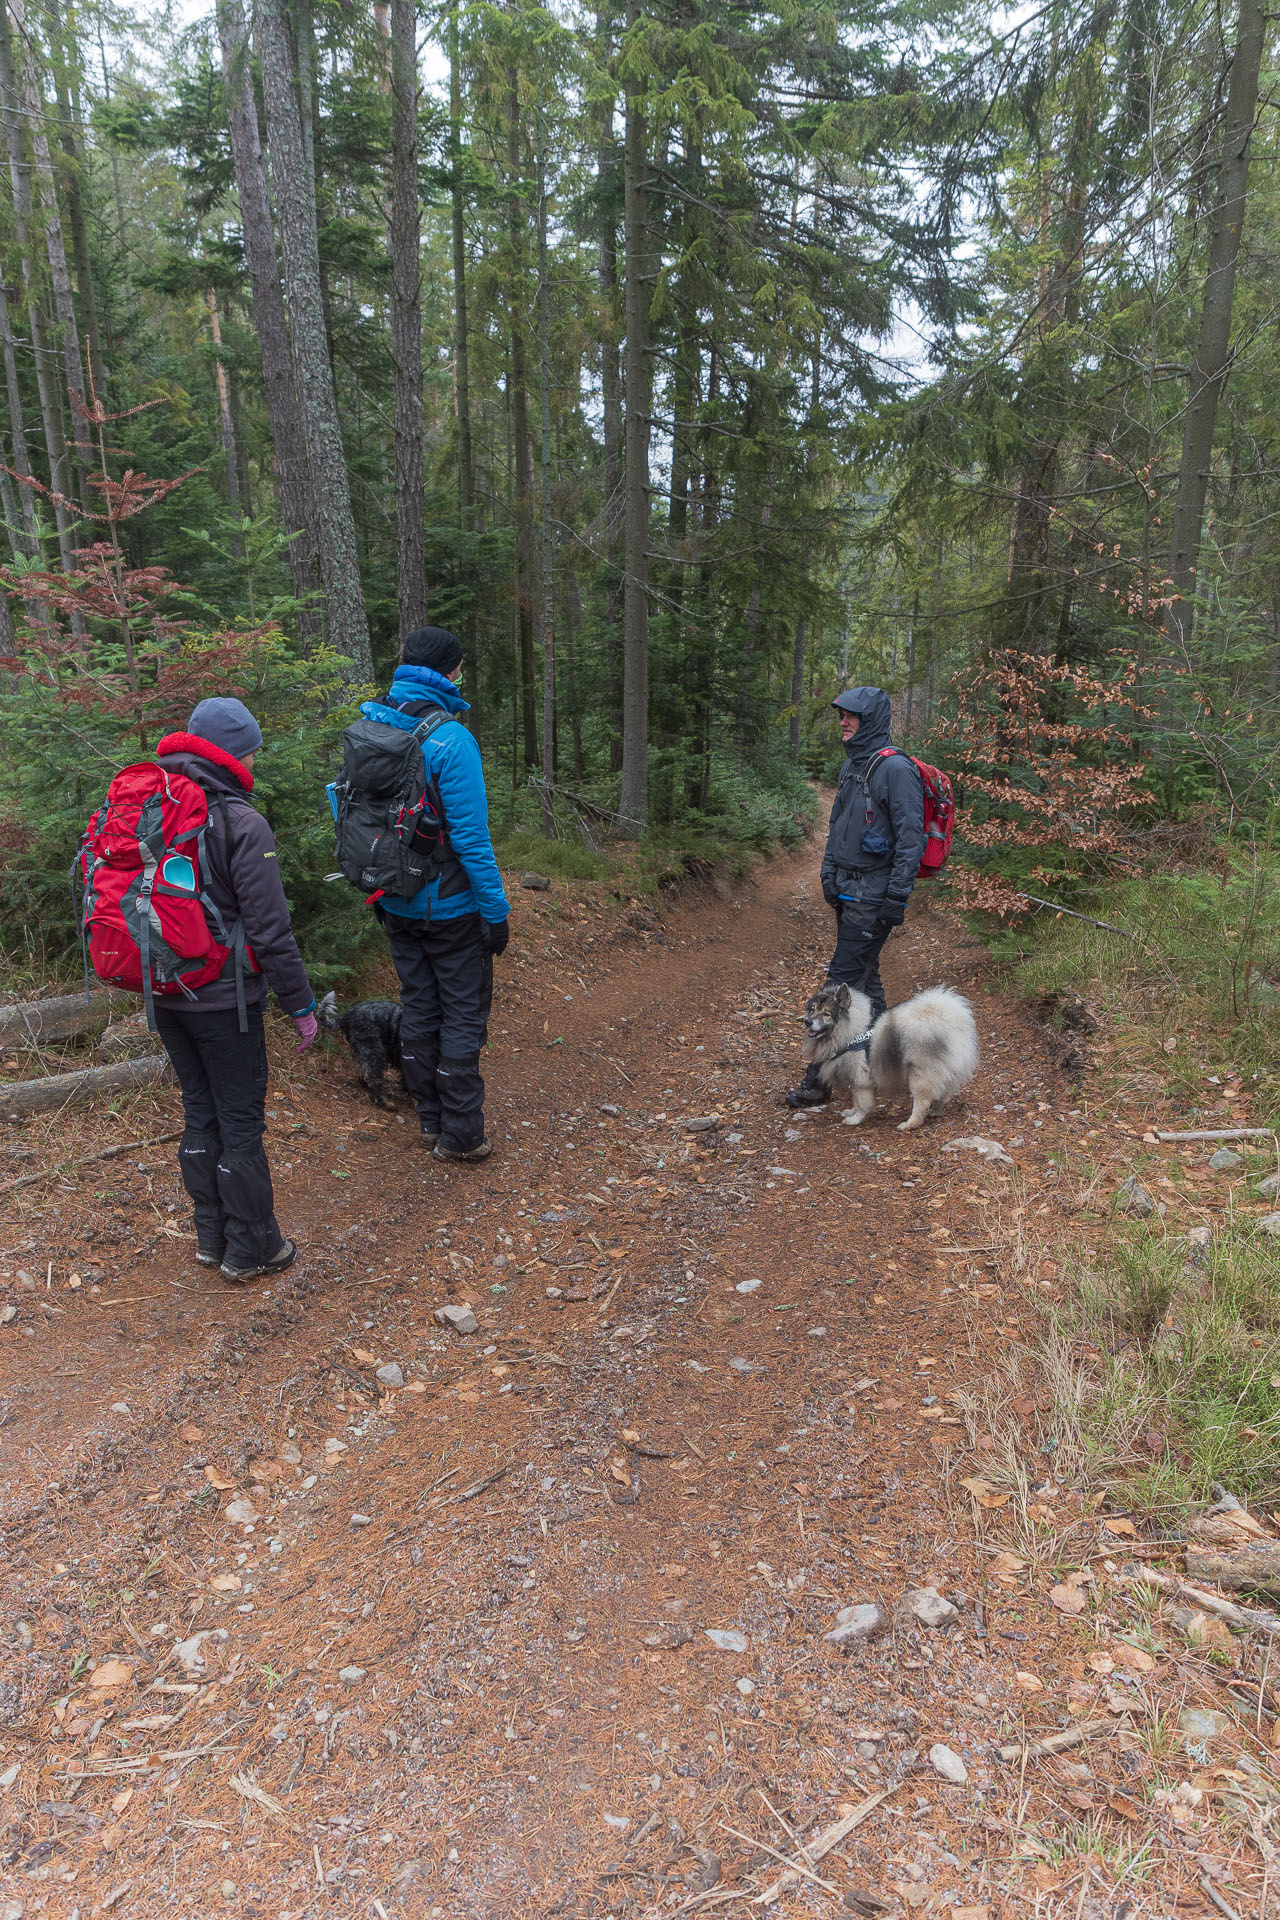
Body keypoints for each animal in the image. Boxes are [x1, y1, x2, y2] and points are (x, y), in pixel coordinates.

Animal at [802, 983, 982, 1128]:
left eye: (826, 1014)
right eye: (812, 1010)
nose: (807, 1022)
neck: (850, 1033)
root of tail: (951, 1022)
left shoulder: (861, 1081)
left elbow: (860, 1103)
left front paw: (855, 1118)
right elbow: (855, 1100)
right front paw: (850, 1112)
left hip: (919, 1076)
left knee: (922, 1102)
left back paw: (910, 1124)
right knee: (942, 1095)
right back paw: (935, 1112)